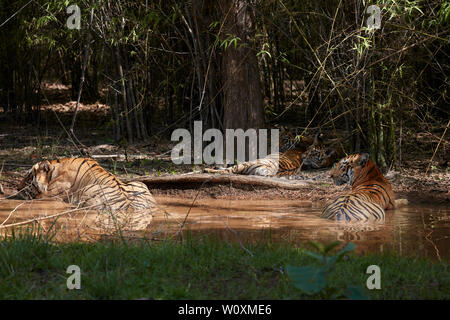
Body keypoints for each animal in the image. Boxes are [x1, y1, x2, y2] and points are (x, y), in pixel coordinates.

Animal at [16, 158, 160, 231]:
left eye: (28, 177)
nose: (17, 188)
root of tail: (131, 207)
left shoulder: (50, 196)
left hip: (86, 191)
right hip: (140, 183)